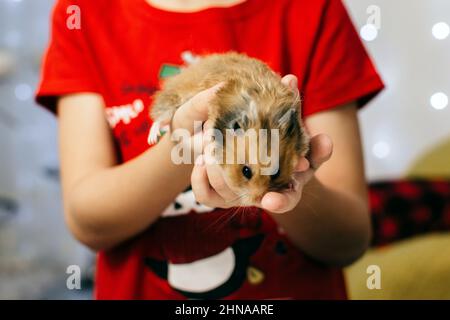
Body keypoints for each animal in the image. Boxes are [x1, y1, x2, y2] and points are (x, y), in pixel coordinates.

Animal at [150, 51, 310, 204]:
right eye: (246, 171)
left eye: (277, 173)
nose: (258, 198)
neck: (262, 113)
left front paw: (292, 182)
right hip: (173, 99)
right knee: (160, 117)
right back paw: (153, 137)